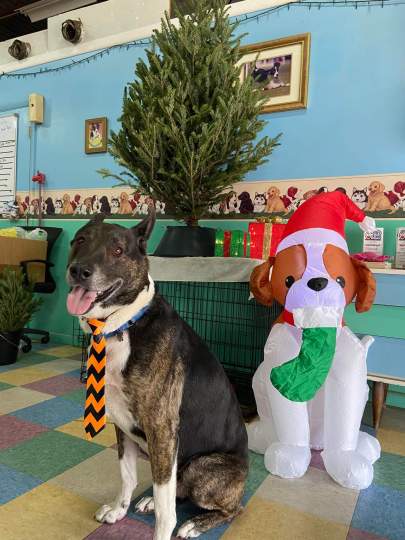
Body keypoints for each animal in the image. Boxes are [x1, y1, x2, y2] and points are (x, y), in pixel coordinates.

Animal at [66, 211, 248, 540]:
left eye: (118, 251)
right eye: (80, 240)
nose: (79, 271)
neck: (123, 327)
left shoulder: (162, 430)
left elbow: (167, 510)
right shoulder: (121, 425)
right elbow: (127, 476)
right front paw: (118, 510)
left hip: (202, 467)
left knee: (230, 508)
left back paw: (195, 523)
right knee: (177, 490)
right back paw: (149, 499)